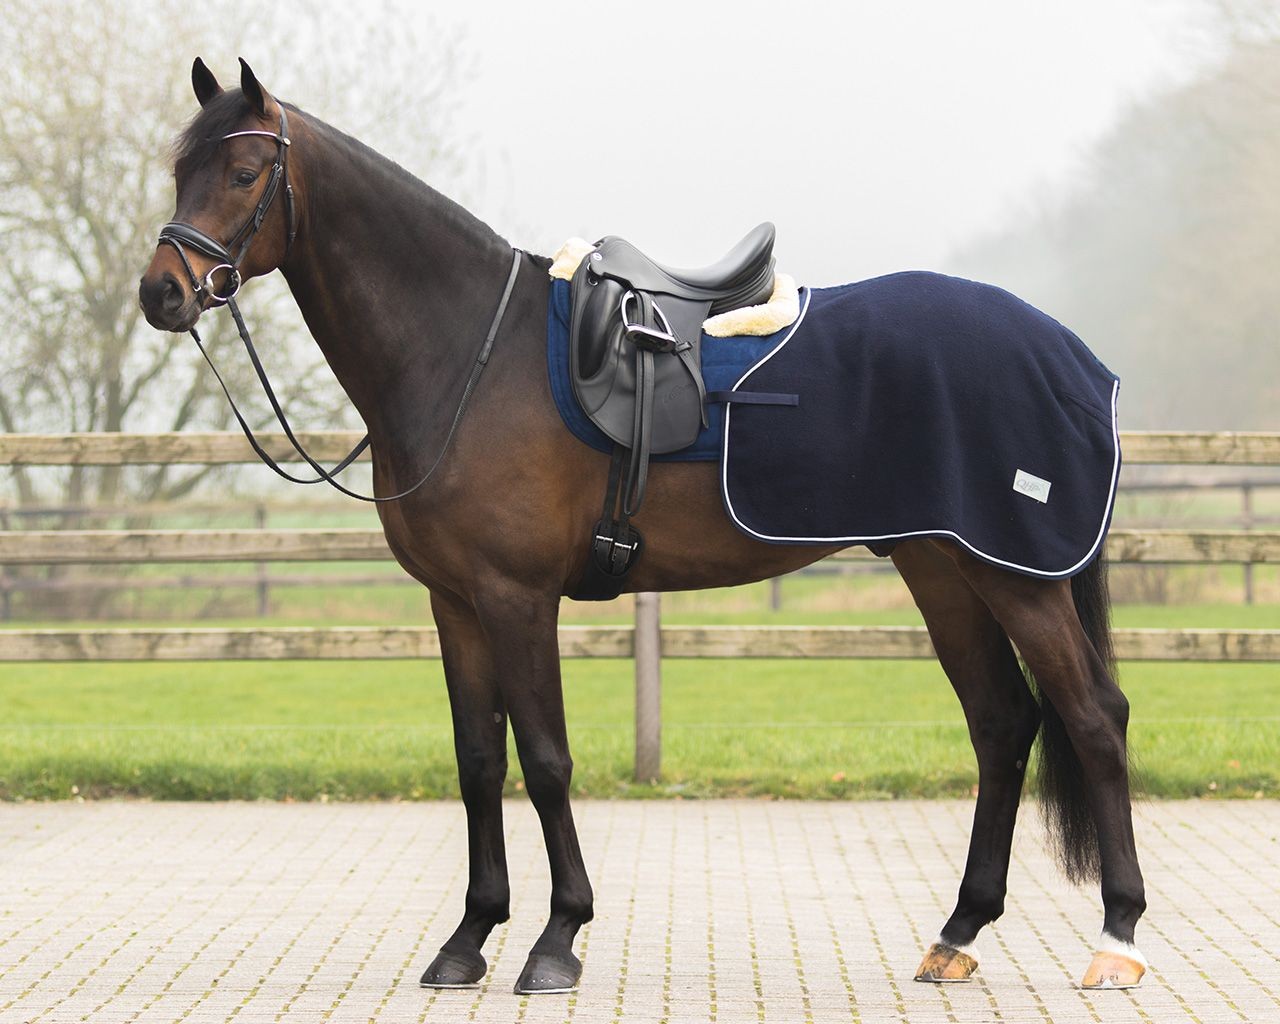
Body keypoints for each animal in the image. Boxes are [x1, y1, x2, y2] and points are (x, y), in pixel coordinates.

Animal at [138, 59, 1147, 995]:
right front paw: (470, 937)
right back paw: (958, 931)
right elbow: (477, 761)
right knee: (1002, 723)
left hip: (1016, 577)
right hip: (943, 568)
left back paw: (1118, 938)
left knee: (1094, 717)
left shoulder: (517, 596)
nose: (162, 294)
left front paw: (556, 939)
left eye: (242, 173)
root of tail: (1067, 352)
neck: (468, 353)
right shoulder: (455, 604)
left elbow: (545, 760)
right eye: (179, 168)